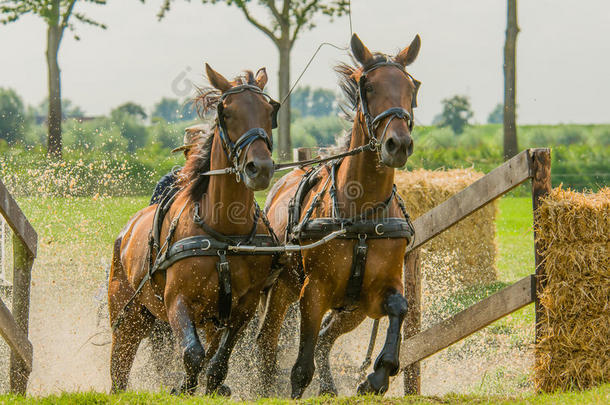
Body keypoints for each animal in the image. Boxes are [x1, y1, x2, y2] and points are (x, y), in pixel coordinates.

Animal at [109, 64, 278, 394]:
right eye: (227, 112)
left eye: (269, 110)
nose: (260, 168)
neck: (223, 234)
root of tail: (127, 231)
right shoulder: (177, 300)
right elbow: (192, 355)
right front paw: (182, 388)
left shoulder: (244, 306)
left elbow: (217, 362)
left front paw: (214, 386)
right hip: (128, 317)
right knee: (119, 367)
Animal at [255, 32, 418, 398]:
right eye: (367, 86)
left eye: (412, 87)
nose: (398, 144)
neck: (361, 214)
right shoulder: (313, 292)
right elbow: (301, 367)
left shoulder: (376, 293)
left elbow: (399, 308)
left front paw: (378, 375)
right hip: (281, 291)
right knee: (267, 343)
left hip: (351, 310)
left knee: (325, 339)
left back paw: (330, 387)